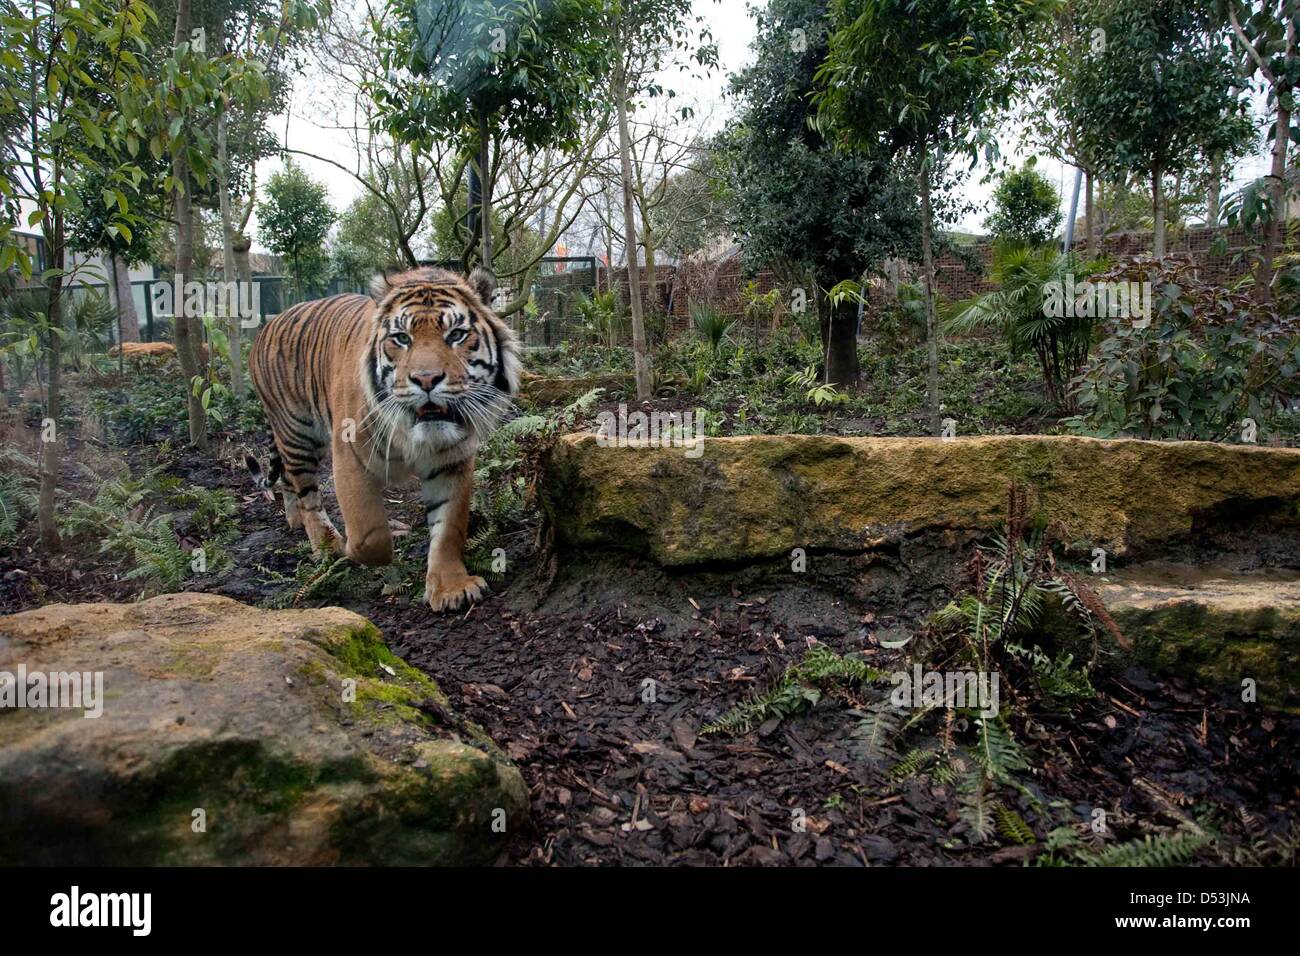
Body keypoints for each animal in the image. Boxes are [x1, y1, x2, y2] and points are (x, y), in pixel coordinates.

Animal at [246, 265, 521, 612]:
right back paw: (326, 545)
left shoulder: (453, 460)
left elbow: (449, 528)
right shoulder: (348, 453)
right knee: (306, 491)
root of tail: (267, 325)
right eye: (402, 338)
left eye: (456, 335)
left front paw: (451, 587)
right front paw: (354, 549)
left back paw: (295, 520)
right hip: (297, 432)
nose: (426, 379)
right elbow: (369, 533)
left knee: (287, 478)